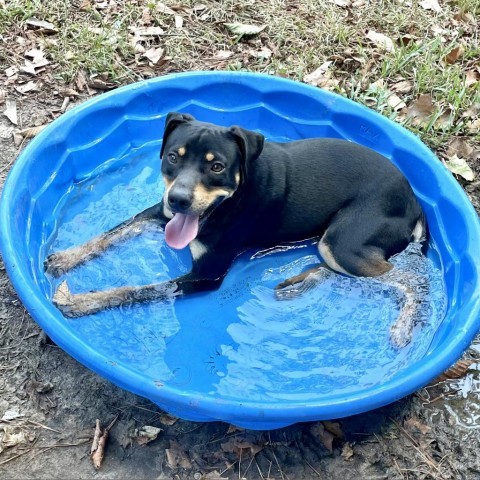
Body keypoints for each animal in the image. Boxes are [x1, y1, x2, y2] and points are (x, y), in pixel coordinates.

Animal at [46, 110, 428, 346]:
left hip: (342, 243)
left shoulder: (205, 276)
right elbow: (112, 232)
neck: (224, 204)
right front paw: (66, 258)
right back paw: (298, 282)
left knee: (408, 279)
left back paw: (403, 325)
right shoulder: (160, 213)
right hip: (333, 247)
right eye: (172, 157)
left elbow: (141, 289)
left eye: (216, 166)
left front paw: (83, 300)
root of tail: (414, 198)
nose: (179, 200)